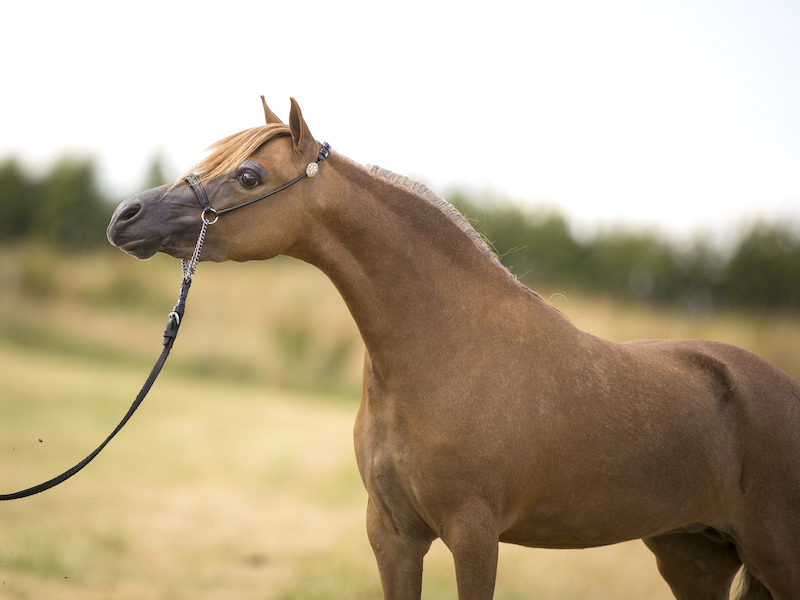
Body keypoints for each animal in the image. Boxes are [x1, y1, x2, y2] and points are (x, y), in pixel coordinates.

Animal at [107, 98, 800, 600]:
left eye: (248, 175)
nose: (125, 216)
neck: (444, 353)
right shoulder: (392, 535)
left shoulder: (474, 535)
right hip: (693, 555)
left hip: (775, 555)